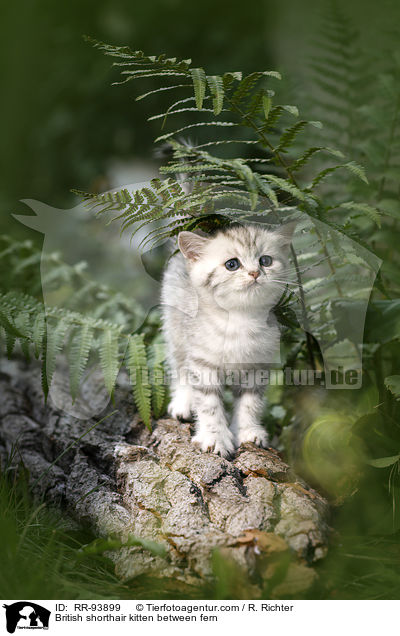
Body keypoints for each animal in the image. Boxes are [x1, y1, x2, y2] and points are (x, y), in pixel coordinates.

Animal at [161, 221, 296, 454]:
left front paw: (247, 431)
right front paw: (215, 438)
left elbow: (249, 403)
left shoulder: (256, 365)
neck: (239, 320)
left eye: (265, 260)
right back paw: (183, 402)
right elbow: (209, 404)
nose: (255, 273)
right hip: (176, 328)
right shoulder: (202, 362)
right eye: (232, 264)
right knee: (180, 366)